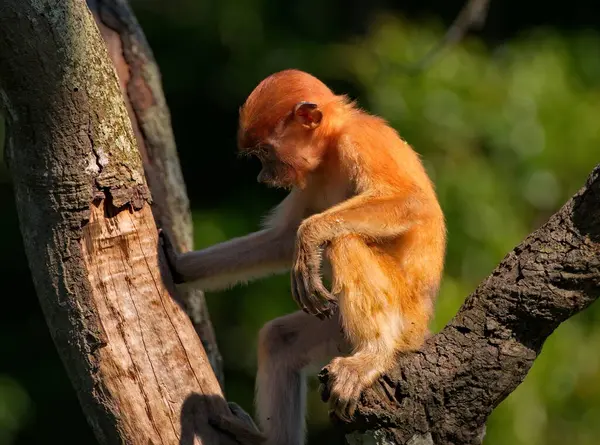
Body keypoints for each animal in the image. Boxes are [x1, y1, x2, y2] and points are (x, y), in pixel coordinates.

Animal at [163, 68, 446, 444]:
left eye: (265, 153)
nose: (262, 176)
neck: (333, 144)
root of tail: (425, 321)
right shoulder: (310, 178)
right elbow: (280, 243)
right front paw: (178, 265)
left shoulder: (361, 141)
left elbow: (412, 202)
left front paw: (309, 237)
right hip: (337, 330)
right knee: (279, 340)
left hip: (405, 316)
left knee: (345, 241)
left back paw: (372, 356)